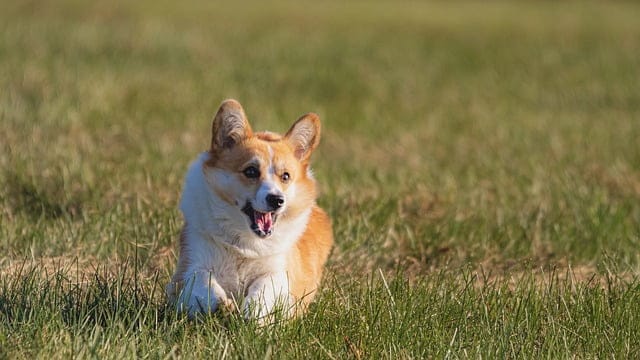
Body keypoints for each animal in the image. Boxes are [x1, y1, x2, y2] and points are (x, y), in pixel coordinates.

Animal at [165, 99, 336, 320]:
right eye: (251, 171)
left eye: (286, 176)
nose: (277, 200)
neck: (245, 242)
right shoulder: (191, 262)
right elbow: (202, 279)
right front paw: (221, 304)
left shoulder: (279, 272)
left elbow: (264, 286)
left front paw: (252, 313)